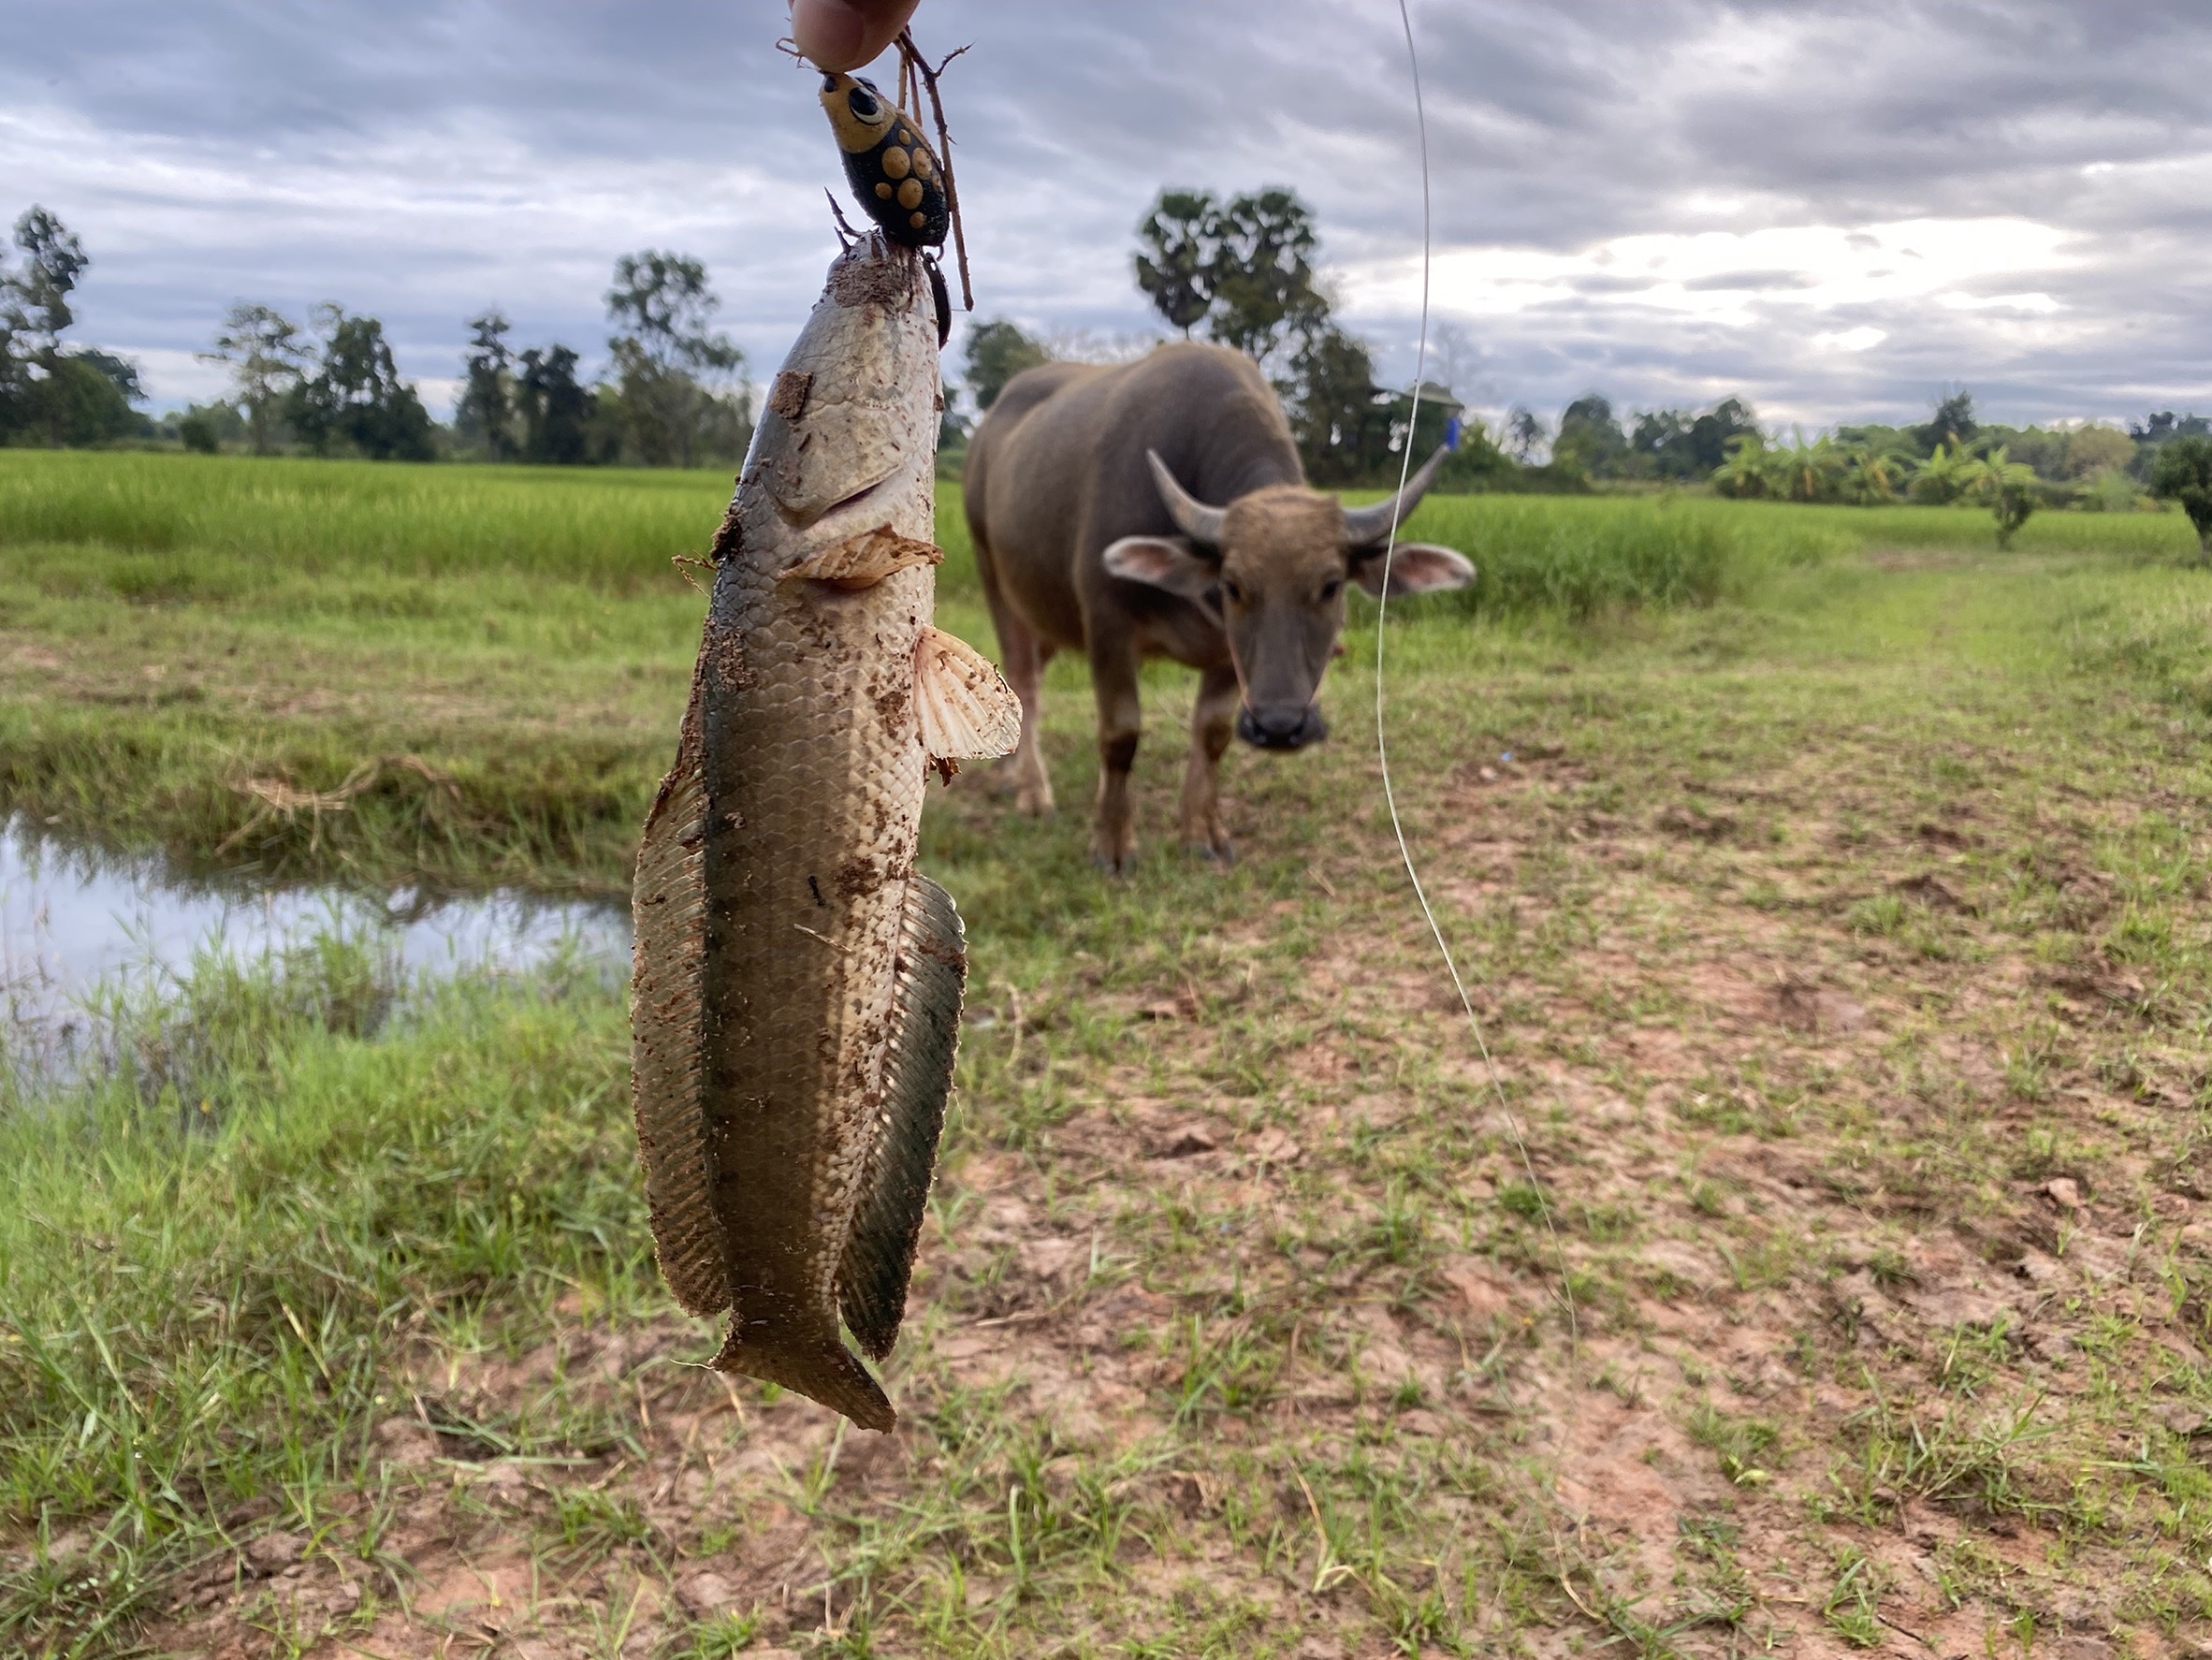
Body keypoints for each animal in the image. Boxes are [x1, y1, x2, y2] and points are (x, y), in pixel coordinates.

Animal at [964, 344, 1468, 876]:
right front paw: (1112, 844)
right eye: (1234, 586)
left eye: (1330, 586)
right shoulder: (1107, 628)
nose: (1279, 726)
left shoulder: (1229, 656)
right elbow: (1121, 735)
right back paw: (1032, 793)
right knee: (1023, 681)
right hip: (995, 581)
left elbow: (1212, 734)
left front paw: (1202, 832)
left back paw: (1009, 769)